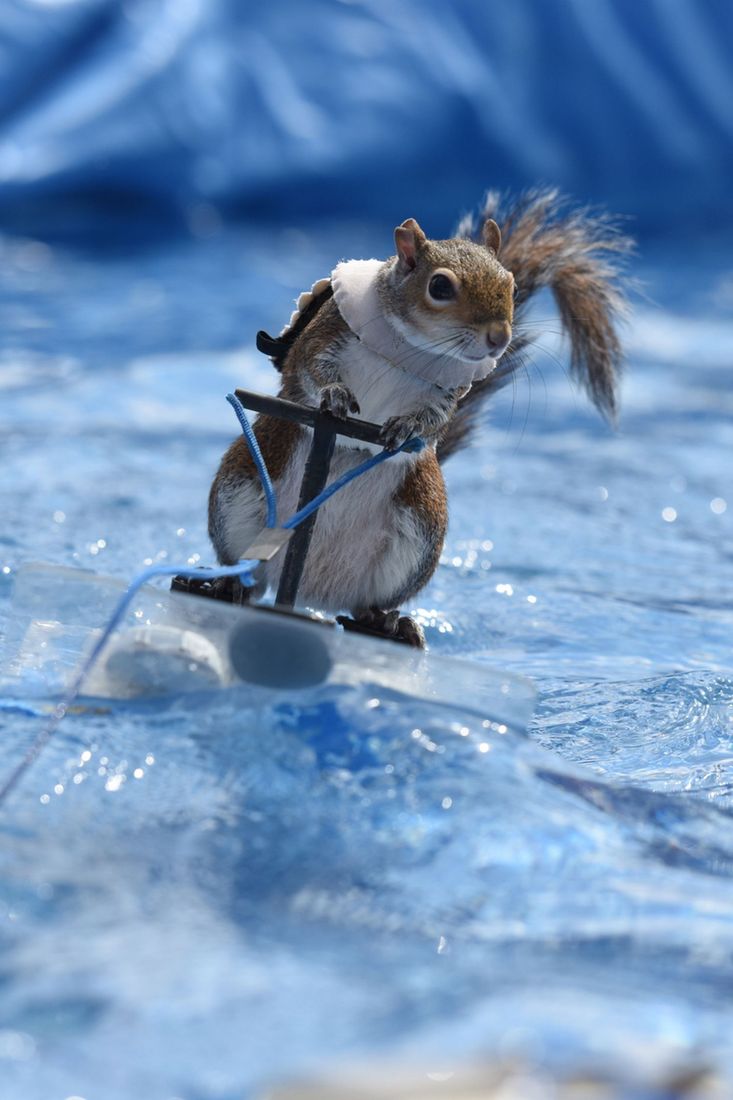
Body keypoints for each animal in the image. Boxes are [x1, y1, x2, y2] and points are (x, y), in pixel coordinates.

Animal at [208, 190, 630, 646]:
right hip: (241, 488)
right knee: (250, 576)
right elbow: (311, 369)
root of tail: (308, 592)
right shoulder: (324, 336)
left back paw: (388, 622)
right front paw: (335, 394)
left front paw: (408, 426)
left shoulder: (449, 392)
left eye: (512, 285)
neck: (414, 347)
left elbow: (435, 419)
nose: (499, 338)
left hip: (421, 526)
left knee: (364, 604)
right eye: (440, 286)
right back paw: (230, 585)